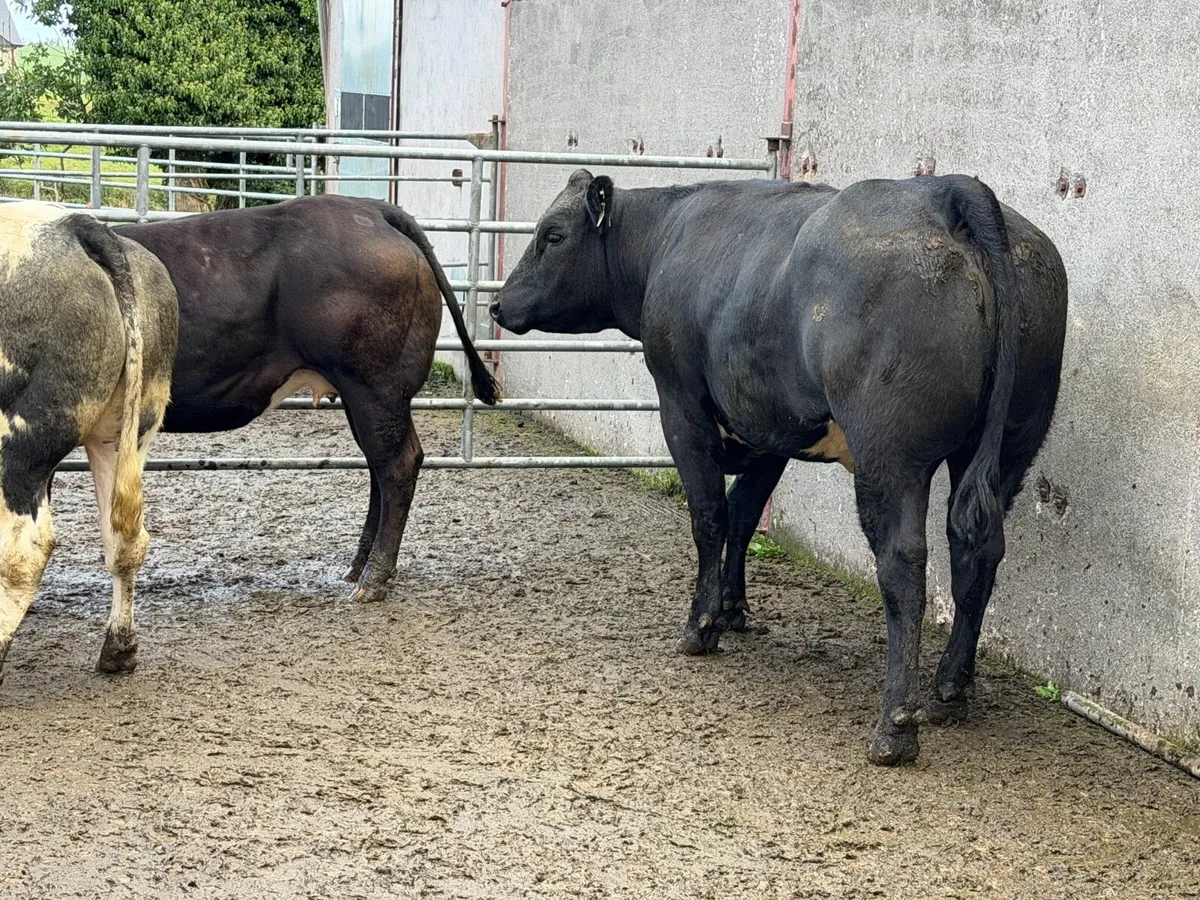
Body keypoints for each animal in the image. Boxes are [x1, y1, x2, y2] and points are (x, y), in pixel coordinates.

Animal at [0, 202, 178, 682]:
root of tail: (74, 226)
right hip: (126, 428)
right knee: (126, 537)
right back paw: (118, 651)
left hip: (18, 437)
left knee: (21, 552)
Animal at [116, 195, 499, 603]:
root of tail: (371, 208)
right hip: (366, 395)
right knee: (379, 466)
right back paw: (358, 567)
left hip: (374, 383)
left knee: (397, 464)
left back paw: (373, 579)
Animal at [491, 171, 1068, 765]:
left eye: (553, 235)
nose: (498, 304)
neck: (667, 236)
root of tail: (946, 190)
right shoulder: (768, 426)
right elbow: (744, 513)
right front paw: (732, 607)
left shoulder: (681, 406)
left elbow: (710, 516)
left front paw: (701, 624)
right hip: (1009, 447)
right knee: (977, 551)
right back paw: (949, 689)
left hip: (890, 457)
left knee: (904, 564)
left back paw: (895, 726)